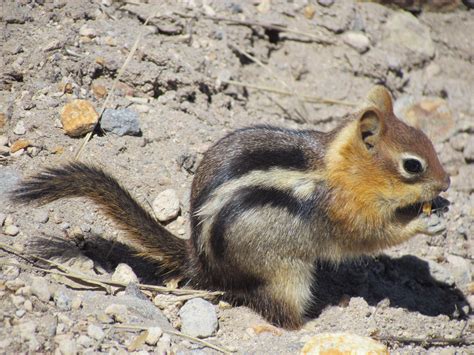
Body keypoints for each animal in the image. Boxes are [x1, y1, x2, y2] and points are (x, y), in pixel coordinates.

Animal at [11, 87, 448, 330]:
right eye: (413, 165)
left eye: (431, 143)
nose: (446, 184)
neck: (344, 170)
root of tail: (200, 262)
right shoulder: (344, 213)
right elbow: (371, 236)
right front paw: (423, 225)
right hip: (284, 273)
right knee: (279, 311)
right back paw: (314, 323)